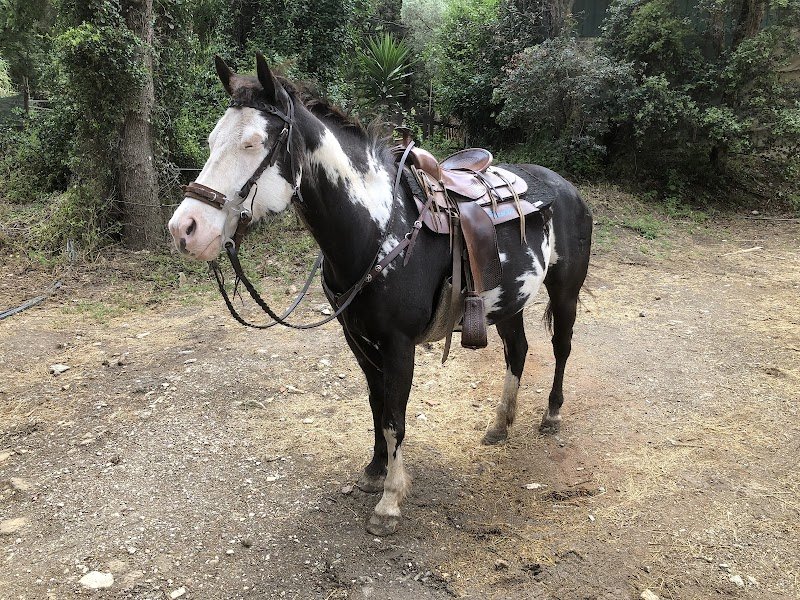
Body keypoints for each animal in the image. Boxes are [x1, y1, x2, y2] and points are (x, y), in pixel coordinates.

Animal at [168, 54, 592, 536]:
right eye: (212, 140)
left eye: (254, 143)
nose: (185, 230)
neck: (378, 229)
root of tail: (566, 187)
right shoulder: (357, 339)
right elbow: (375, 405)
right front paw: (374, 471)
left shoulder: (399, 345)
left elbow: (395, 418)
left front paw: (389, 501)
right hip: (507, 302)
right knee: (518, 351)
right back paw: (500, 425)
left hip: (565, 292)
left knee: (561, 347)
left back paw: (551, 415)